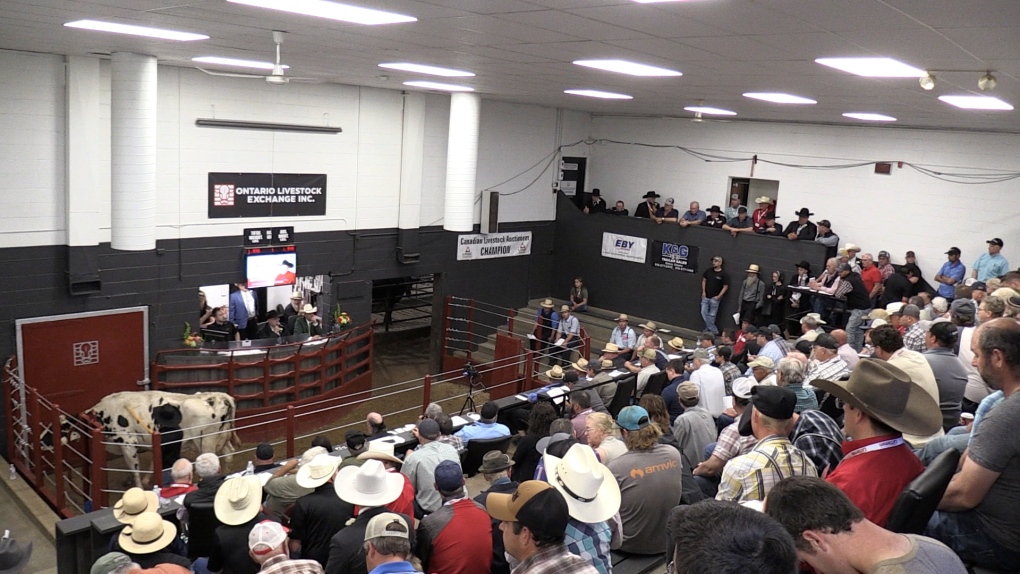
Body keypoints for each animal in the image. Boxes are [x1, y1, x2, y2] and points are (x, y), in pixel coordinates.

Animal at [85, 389, 240, 487]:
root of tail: (219, 396)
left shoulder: (128, 442)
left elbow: (134, 468)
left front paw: (139, 486)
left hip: (206, 441)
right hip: (223, 437)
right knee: (229, 454)